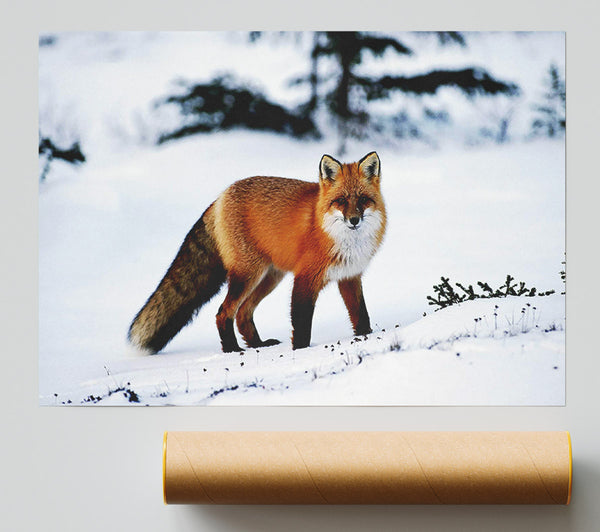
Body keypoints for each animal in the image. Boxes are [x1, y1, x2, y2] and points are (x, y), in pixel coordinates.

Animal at [129, 152, 386, 354]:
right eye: (341, 200)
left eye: (363, 200)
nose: (354, 220)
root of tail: (221, 196)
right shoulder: (305, 278)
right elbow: (301, 324)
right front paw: (301, 352)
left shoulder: (349, 276)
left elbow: (361, 315)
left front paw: (365, 337)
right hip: (248, 275)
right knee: (223, 312)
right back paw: (232, 350)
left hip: (269, 277)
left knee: (242, 313)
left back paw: (258, 345)